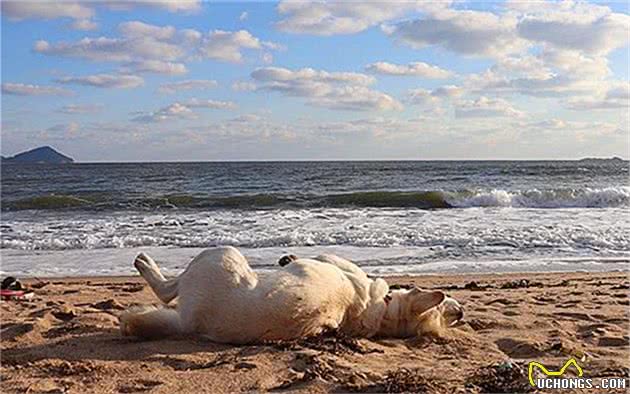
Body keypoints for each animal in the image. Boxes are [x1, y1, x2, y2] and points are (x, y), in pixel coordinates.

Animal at [121, 248, 464, 344]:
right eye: (447, 310)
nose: (461, 312)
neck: (382, 309)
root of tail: (189, 324)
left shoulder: (330, 259)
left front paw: (289, 258)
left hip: (219, 255)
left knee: (166, 289)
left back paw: (145, 263)